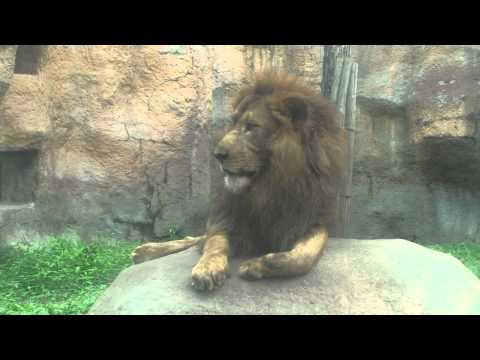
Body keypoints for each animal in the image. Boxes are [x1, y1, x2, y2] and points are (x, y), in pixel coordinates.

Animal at [131, 71, 346, 292]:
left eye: (251, 127)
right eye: (232, 123)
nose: (217, 155)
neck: (270, 185)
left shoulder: (311, 219)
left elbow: (304, 257)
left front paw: (258, 265)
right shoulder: (228, 216)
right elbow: (214, 242)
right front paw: (207, 268)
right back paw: (146, 251)